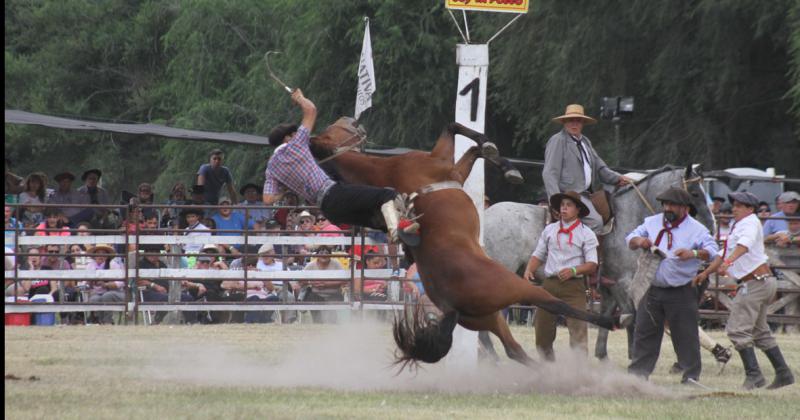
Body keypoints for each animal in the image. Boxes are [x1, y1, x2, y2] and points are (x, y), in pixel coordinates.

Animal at [484, 166, 716, 360]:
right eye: (695, 193)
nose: (712, 227)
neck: (626, 219)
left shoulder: (608, 286)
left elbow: (606, 315)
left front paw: (601, 354)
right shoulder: (623, 282)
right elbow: (631, 315)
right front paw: (633, 353)